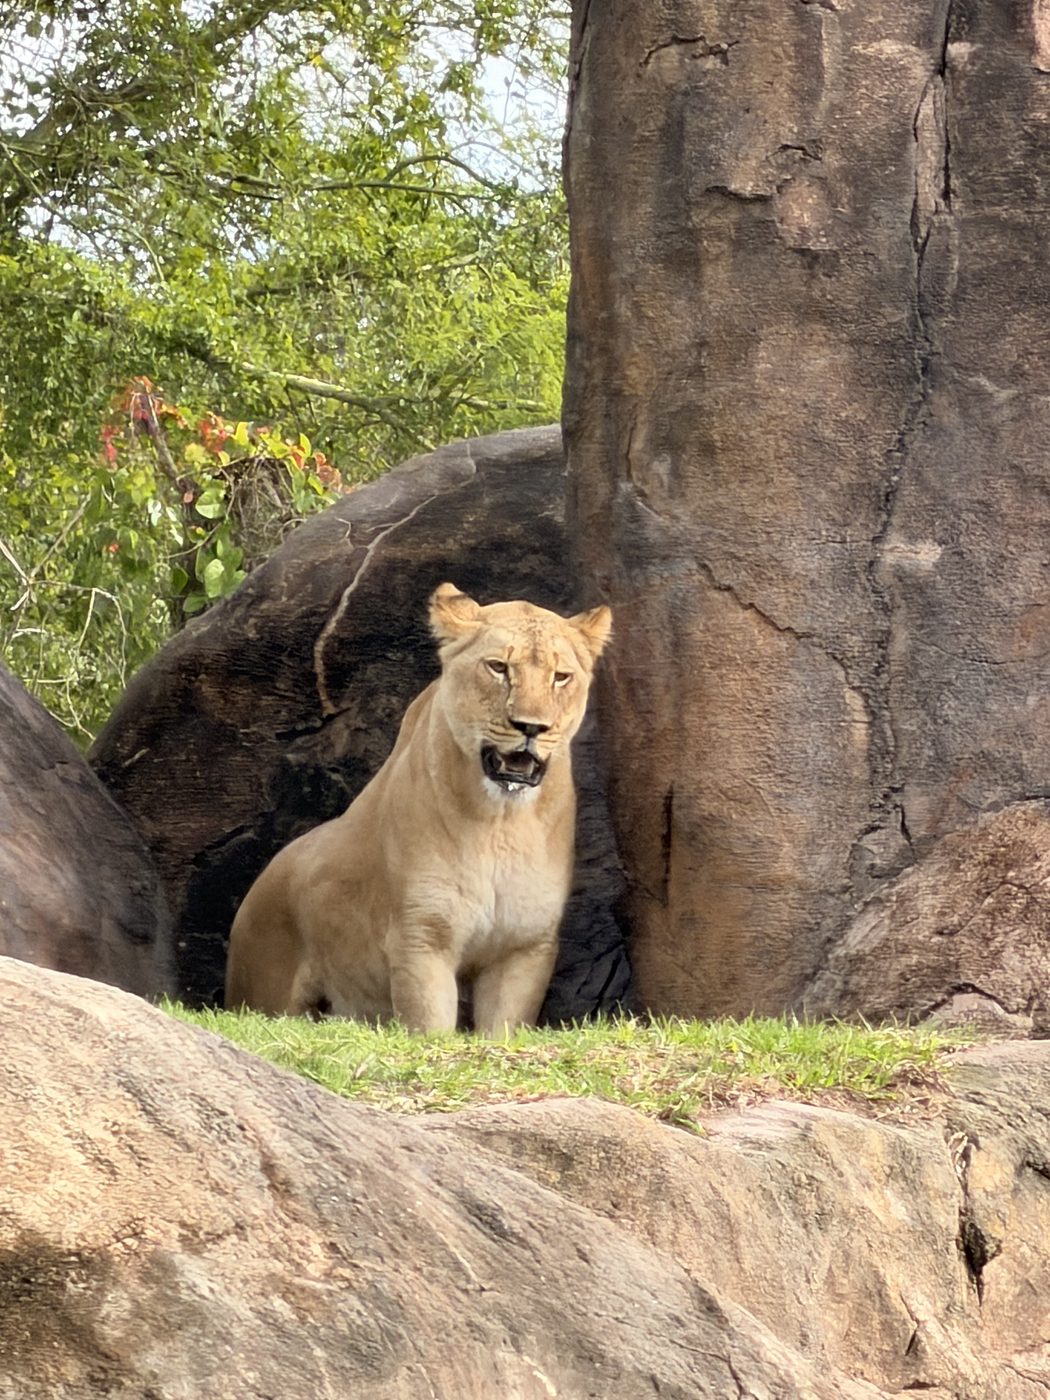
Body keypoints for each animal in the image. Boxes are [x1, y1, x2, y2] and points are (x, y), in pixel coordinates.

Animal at [224, 583, 612, 1034]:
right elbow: (429, 1026)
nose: (531, 727)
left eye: (560, 676)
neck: (501, 822)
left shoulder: (524, 947)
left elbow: (503, 1029)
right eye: (498, 667)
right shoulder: (421, 938)